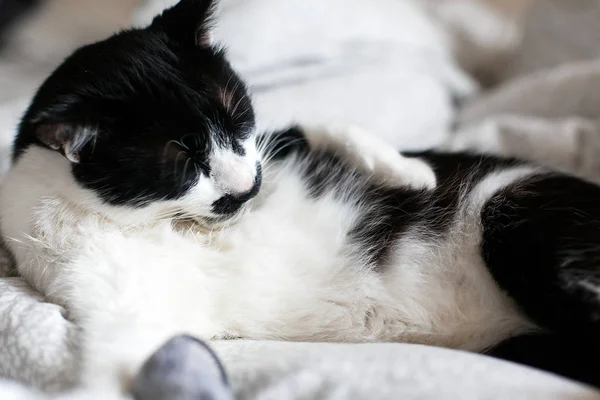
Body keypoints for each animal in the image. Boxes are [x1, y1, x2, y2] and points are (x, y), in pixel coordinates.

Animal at [1, 0, 600, 396]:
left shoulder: (270, 150)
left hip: (510, 218)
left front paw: (409, 171)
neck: (174, 224)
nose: (245, 189)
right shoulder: (111, 294)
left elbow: (314, 124)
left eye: (236, 115)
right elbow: (124, 354)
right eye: (180, 160)